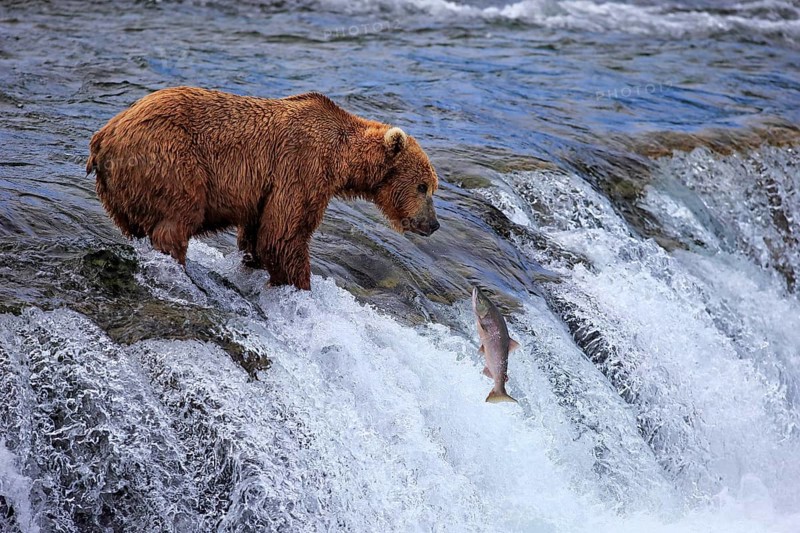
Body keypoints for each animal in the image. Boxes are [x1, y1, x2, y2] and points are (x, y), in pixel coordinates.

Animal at [86, 86, 440, 290]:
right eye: (423, 186)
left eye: (432, 187)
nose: (433, 224)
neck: (341, 159)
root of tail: (104, 136)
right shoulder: (300, 167)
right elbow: (284, 234)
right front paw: (299, 284)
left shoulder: (266, 191)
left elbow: (258, 234)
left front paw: (254, 263)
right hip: (170, 158)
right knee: (177, 219)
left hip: (120, 191)